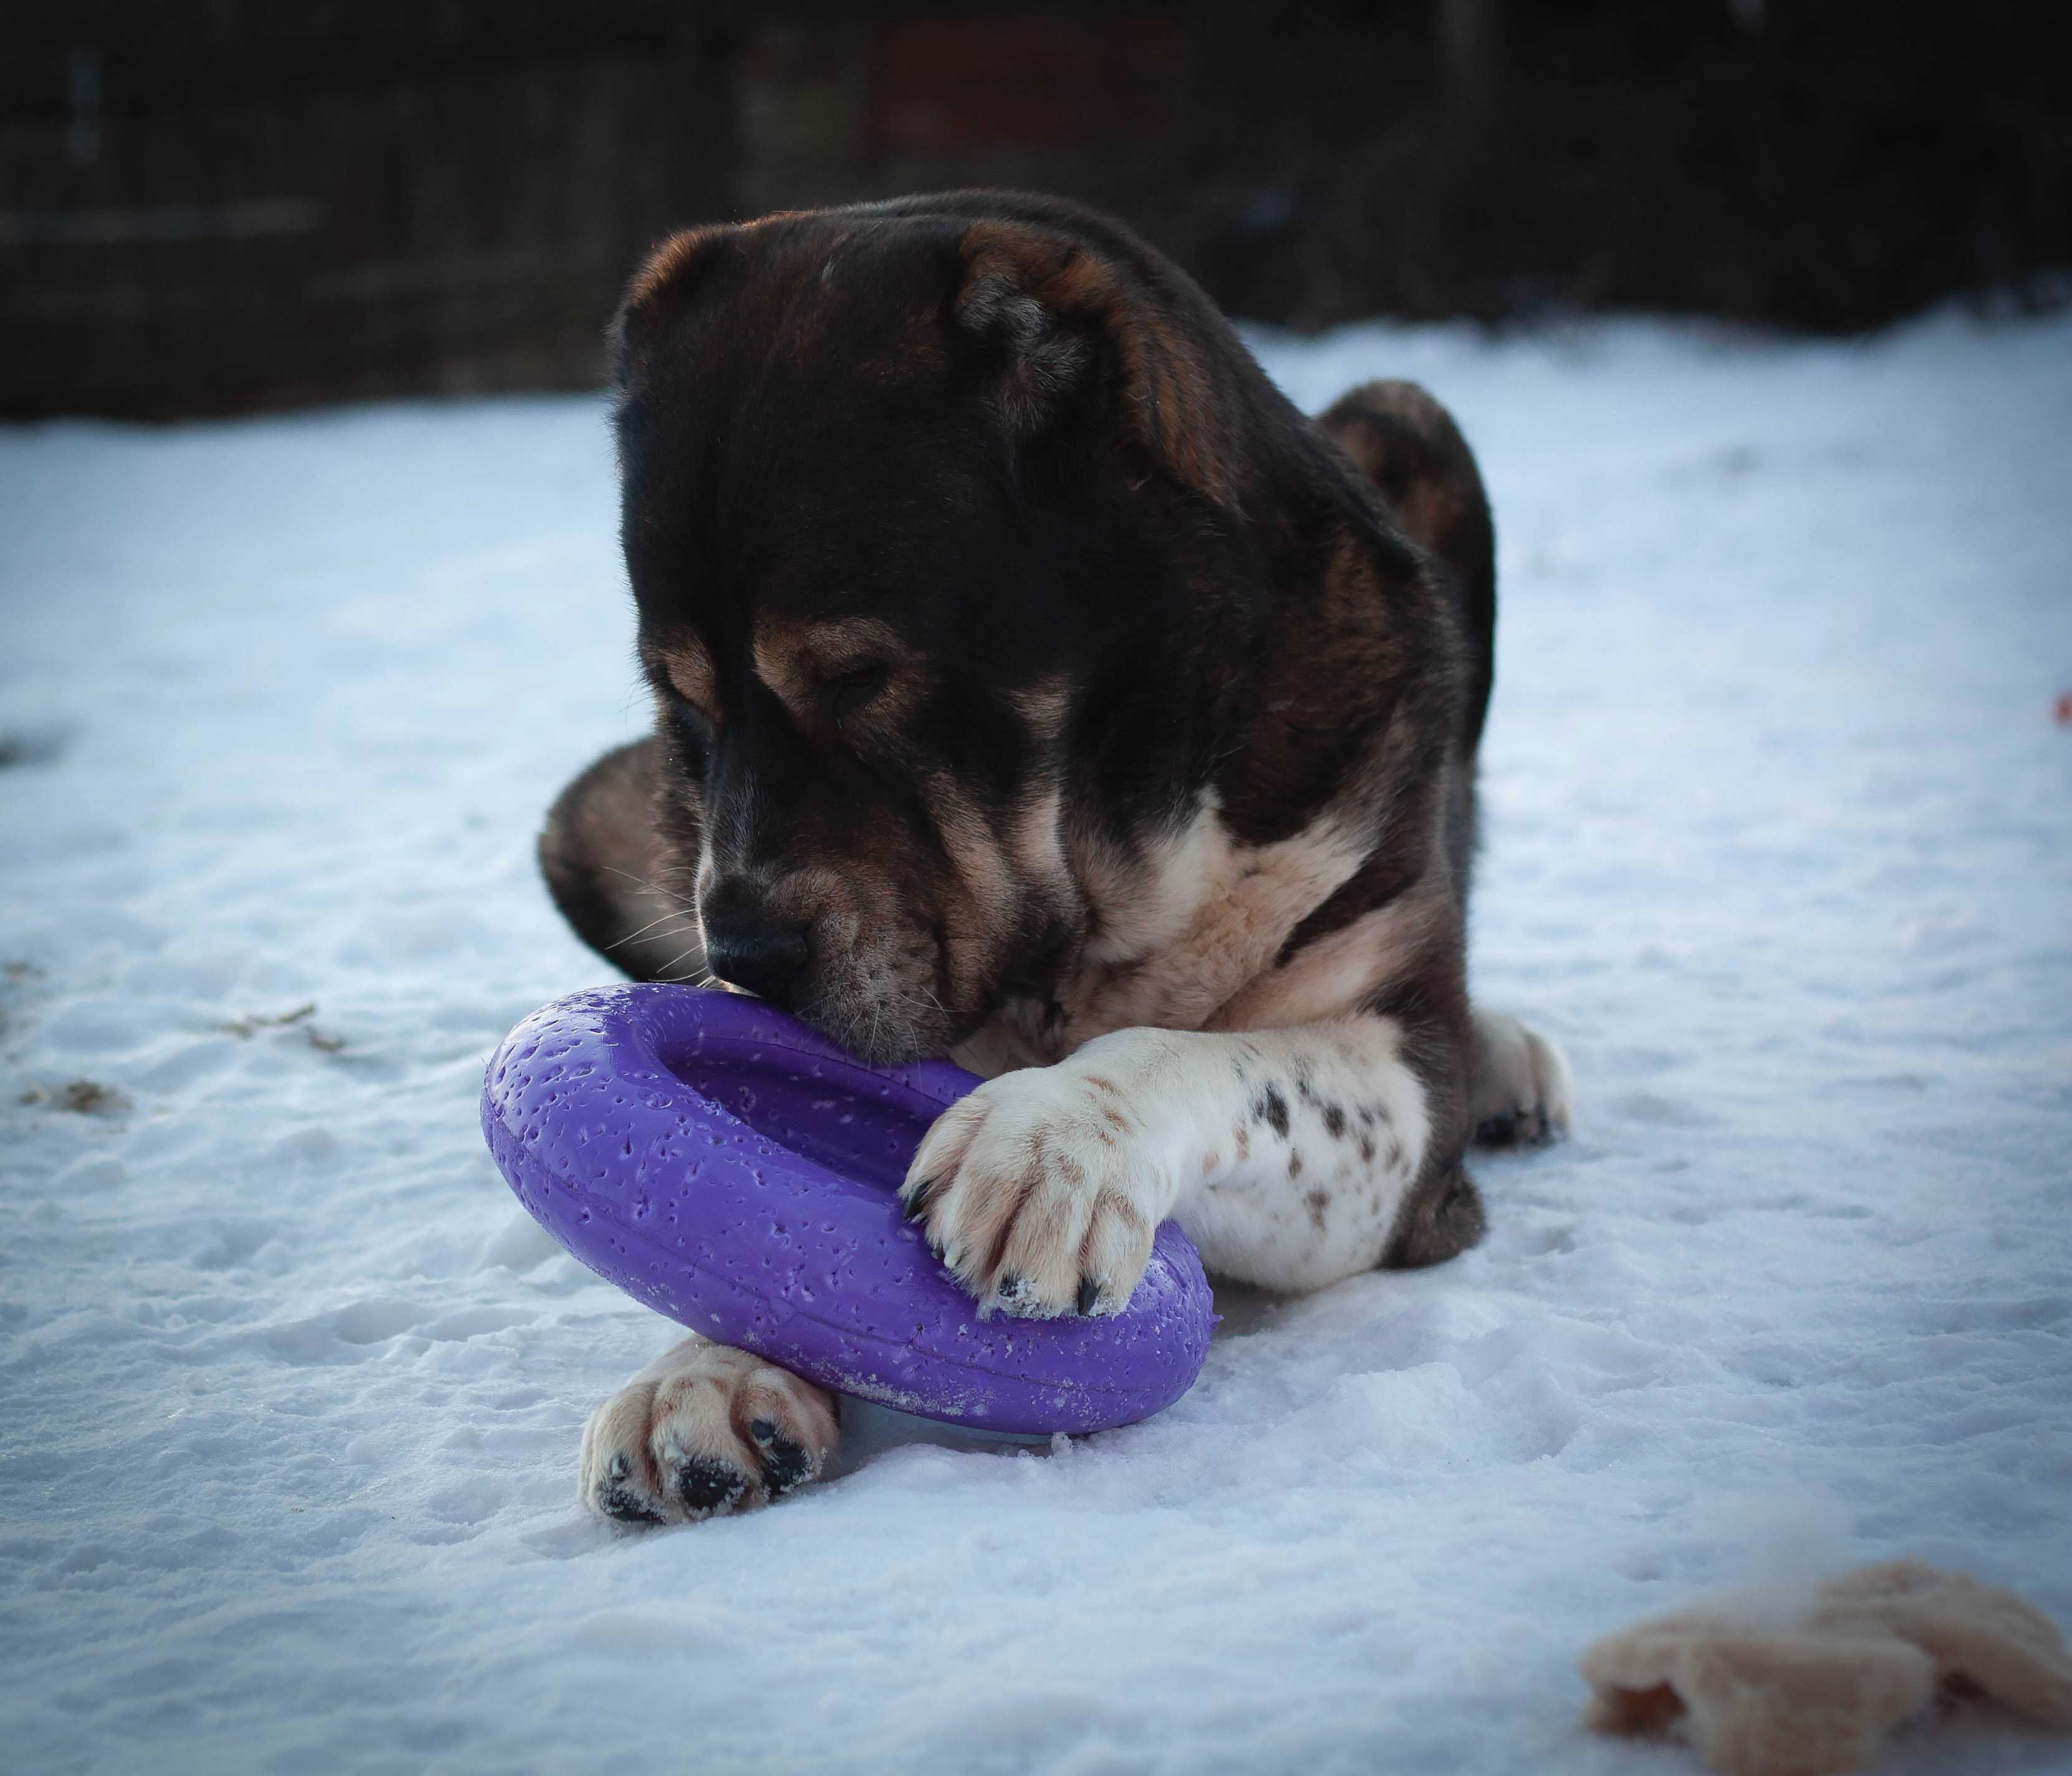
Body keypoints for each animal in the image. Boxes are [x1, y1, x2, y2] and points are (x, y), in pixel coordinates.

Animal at [538, 190, 1566, 1525]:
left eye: (859, 677)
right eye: (679, 699)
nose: (746, 955)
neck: (1107, 866)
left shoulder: (1399, 1115)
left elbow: (1214, 1057)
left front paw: (1057, 1142)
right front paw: (702, 1367)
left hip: (1409, 415)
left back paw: (1508, 1055)